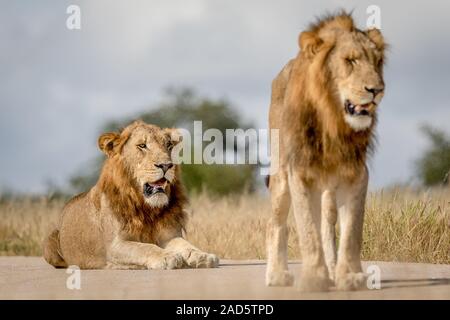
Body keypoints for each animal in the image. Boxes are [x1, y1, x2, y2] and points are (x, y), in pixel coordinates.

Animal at [43, 120, 219, 270]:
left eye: (168, 145)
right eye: (142, 145)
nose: (167, 165)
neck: (147, 208)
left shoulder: (169, 235)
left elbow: (187, 246)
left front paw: (202, 256)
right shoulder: (115, 245)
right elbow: (144, 247)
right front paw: (166, 256)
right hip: (50, 241)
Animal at [266, 12, 384, 292]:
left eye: (377, 62)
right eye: (350, 61)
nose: (376, 90)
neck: (333, 121)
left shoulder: (356, 174)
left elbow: (351, 231)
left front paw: (348, 276)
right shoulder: (299, 173)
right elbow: (307, 229)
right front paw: (314, 278)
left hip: (327, 189)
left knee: (327, 225)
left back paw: (332, 269)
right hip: (281, 178)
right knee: (276, 224)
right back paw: (277, 274)